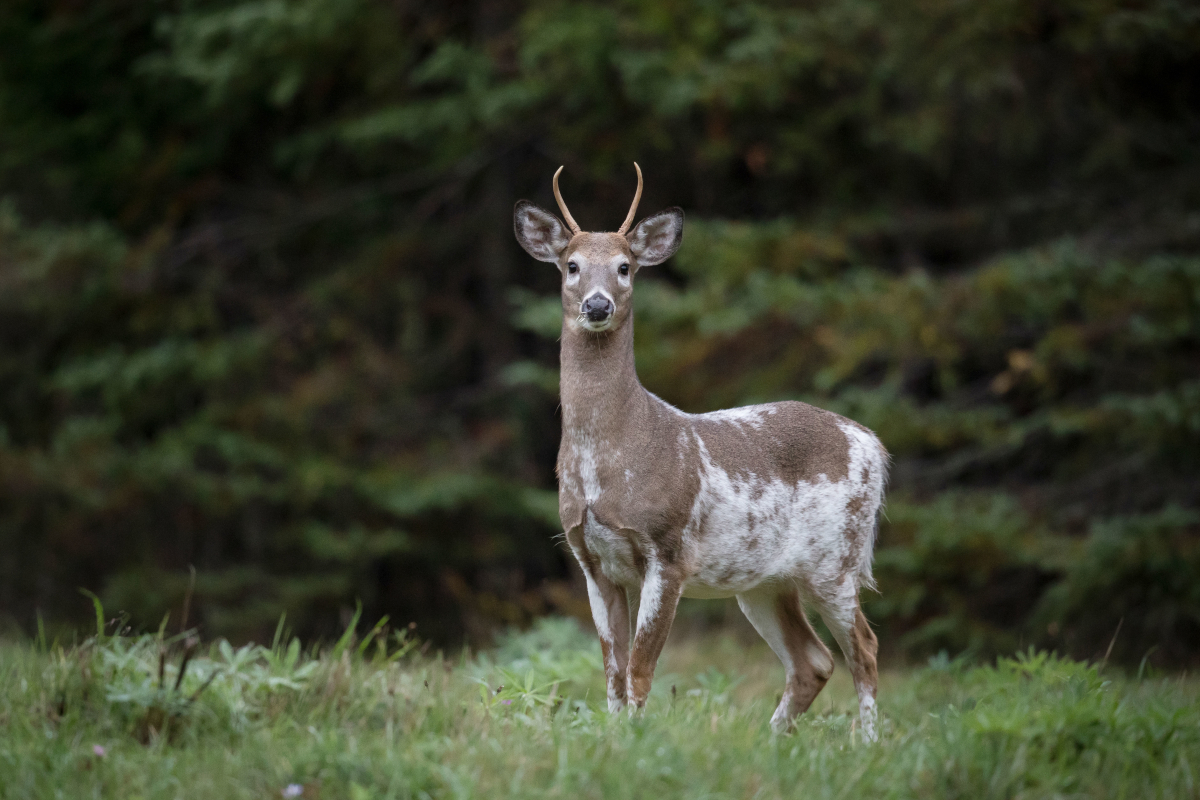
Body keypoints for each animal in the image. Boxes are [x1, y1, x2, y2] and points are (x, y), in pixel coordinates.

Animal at [511, 164, 888, 743]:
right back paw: (771, 742)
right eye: (571, 265)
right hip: (762, 580)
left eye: (625, 267)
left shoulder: (668, 550)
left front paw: (635, 742)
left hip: (836, 557)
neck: (611, 460)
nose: (597, 305)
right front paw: (612, 740)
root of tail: (872, 441)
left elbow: (641, 669)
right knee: (813, 660)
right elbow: (612, 671)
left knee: (863, 649)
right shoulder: (589, 557)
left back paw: (866, 744)